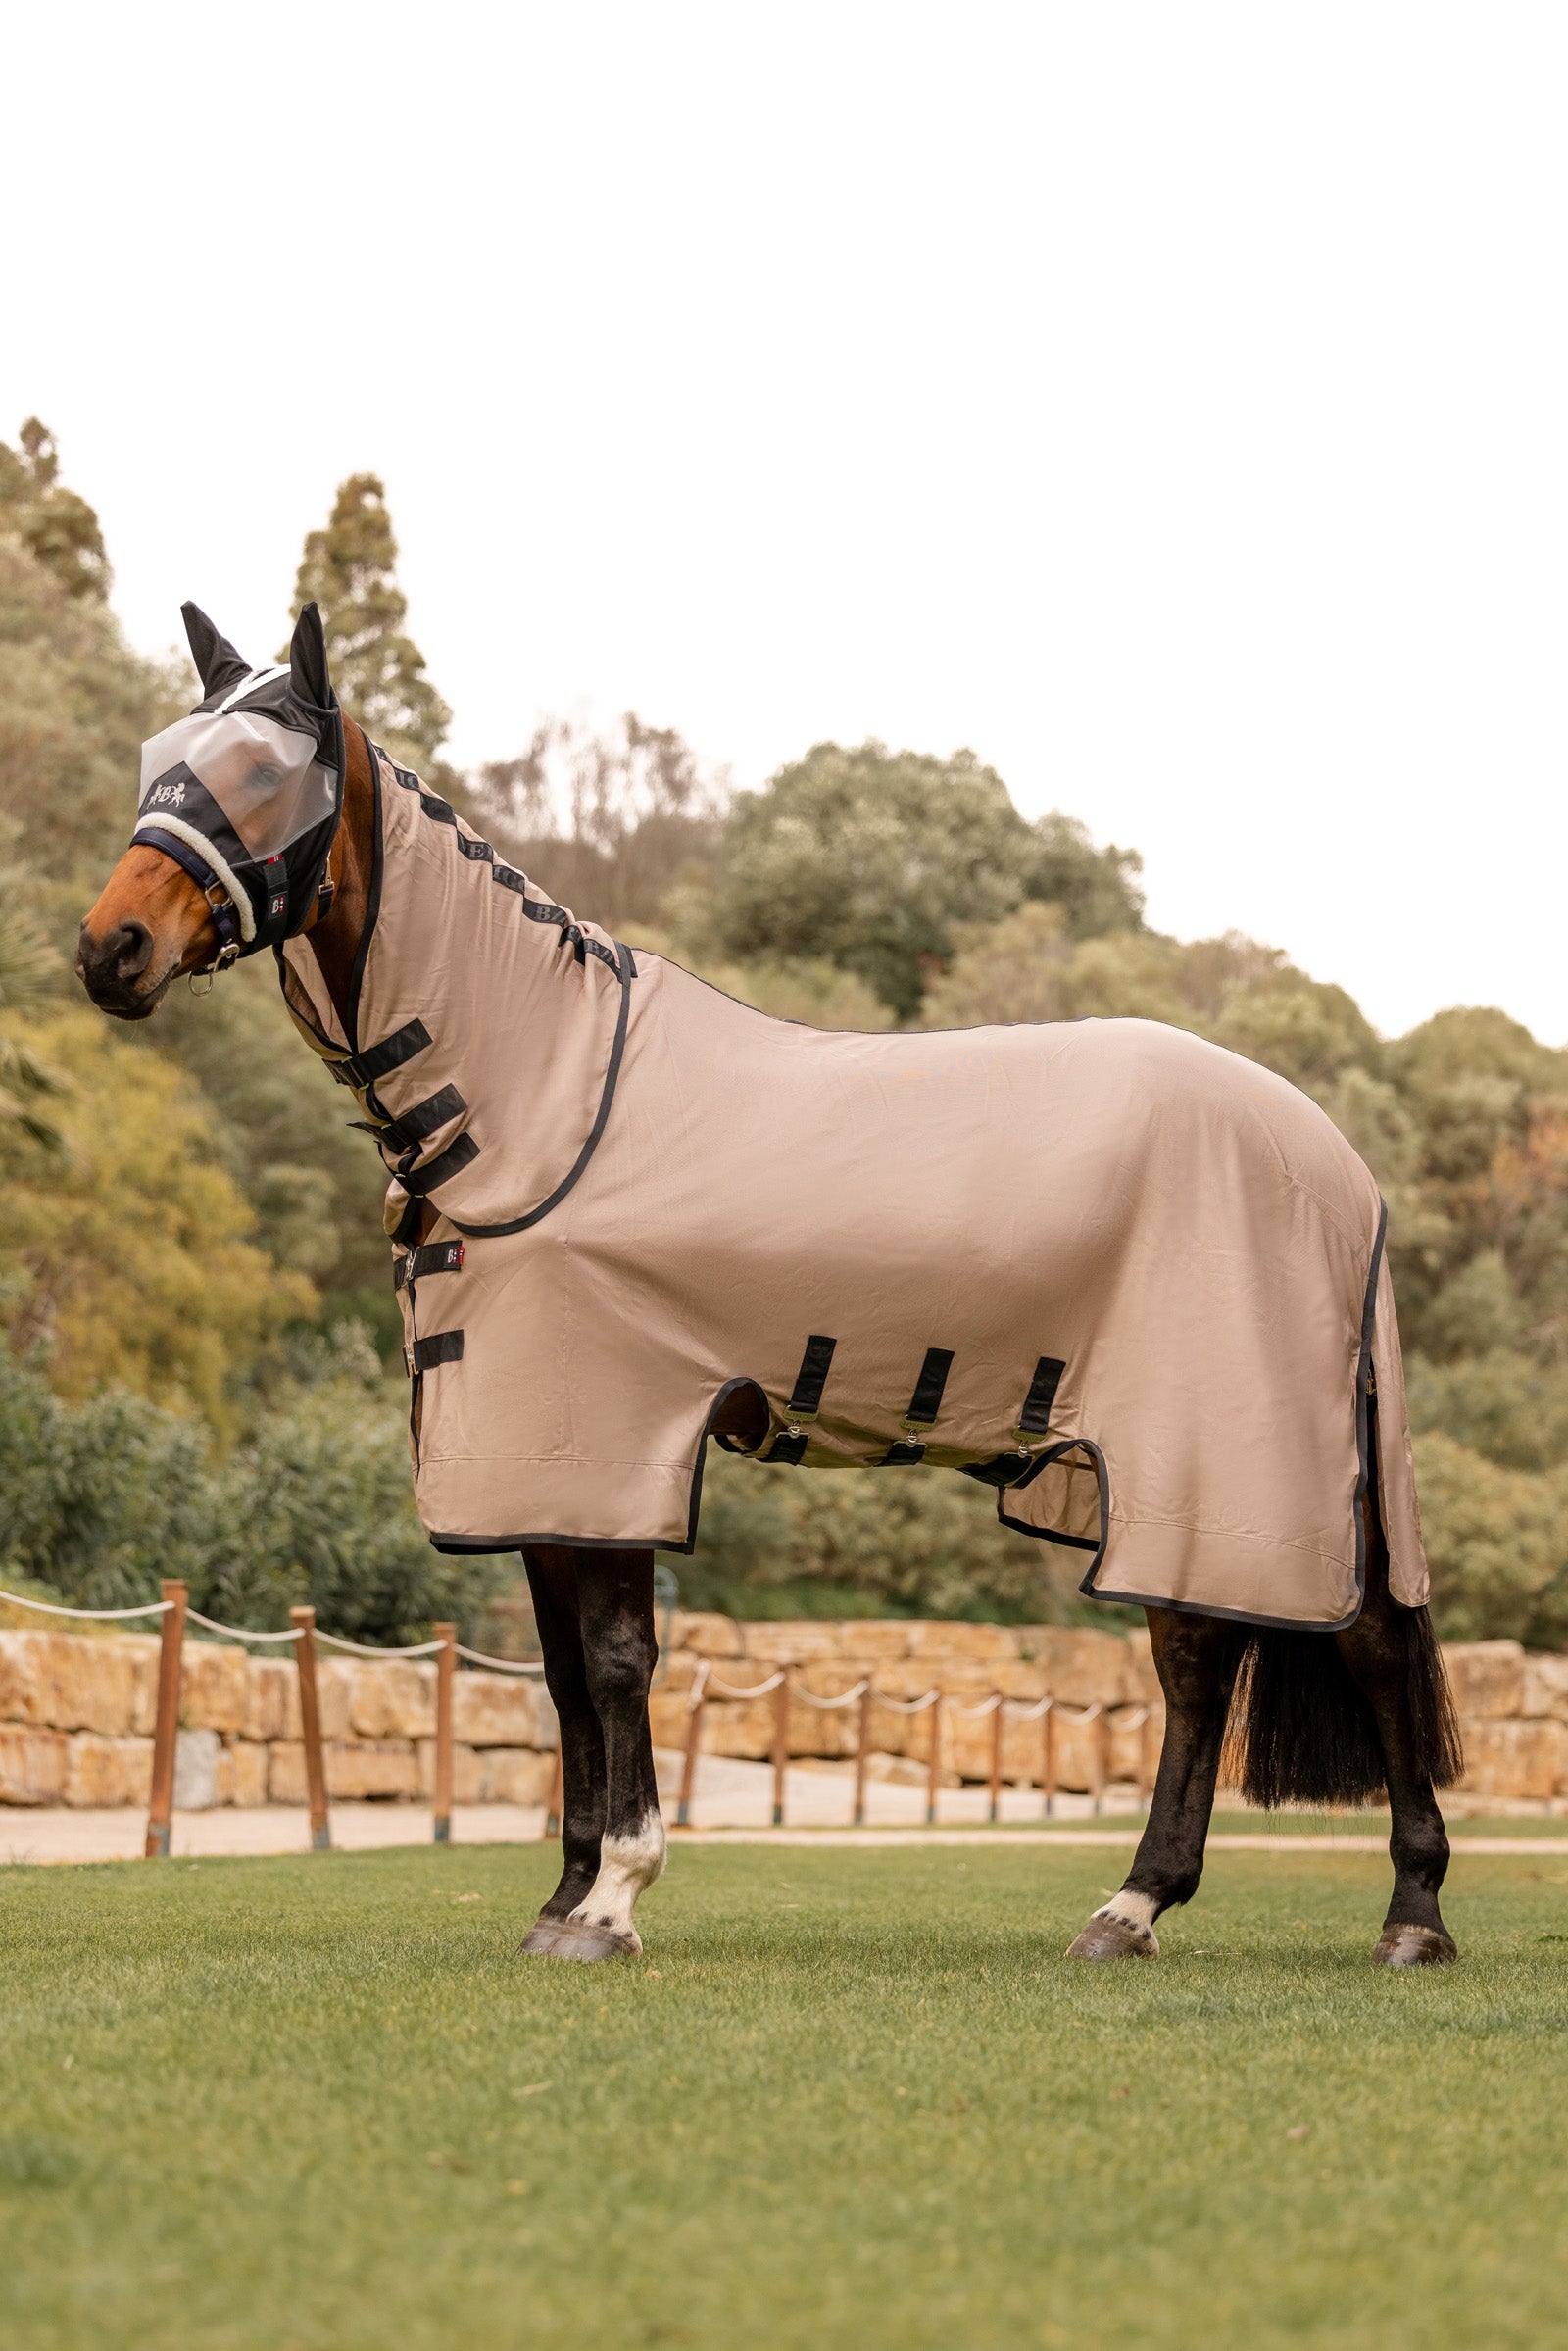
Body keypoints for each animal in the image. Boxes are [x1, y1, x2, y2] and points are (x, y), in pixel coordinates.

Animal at [77, 601, 1463, 1966]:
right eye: (159, 758)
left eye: (264, 775)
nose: (110, 949)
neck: (540, 1088)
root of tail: (1342, 1164)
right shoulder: (526, 1467)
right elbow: (564, 1677)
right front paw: (561, 1896)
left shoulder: (606, 1436)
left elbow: (620, 1661)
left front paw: (612, 1901)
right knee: (1198, 1654)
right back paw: (1132, 1910)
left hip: (1237, 1461)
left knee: (1350, 1641)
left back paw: (1405, 1915)